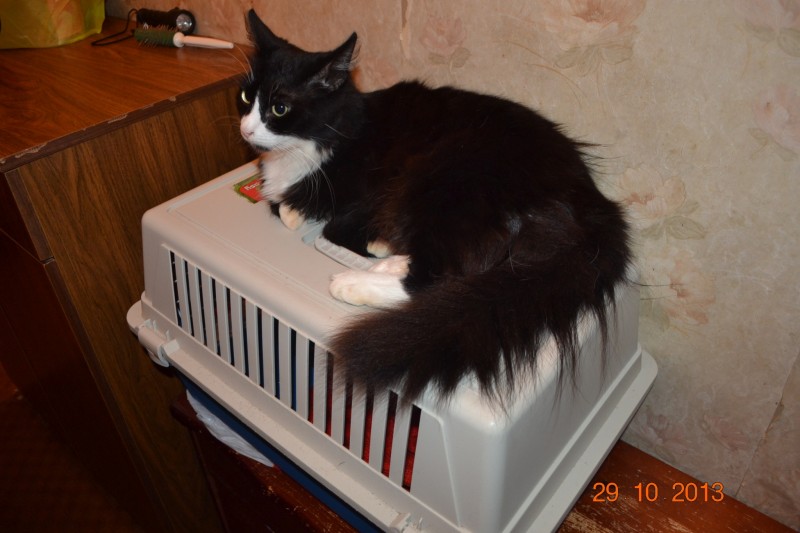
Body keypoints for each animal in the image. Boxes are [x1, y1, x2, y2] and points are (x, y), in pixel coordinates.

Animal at [238, 9, 632, 406]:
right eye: (244, 96)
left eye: (279, 108)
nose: (246, 130)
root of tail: (595, 204)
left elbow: (296, 211)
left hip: (446, 174)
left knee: (432, 278)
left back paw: (353, 282)